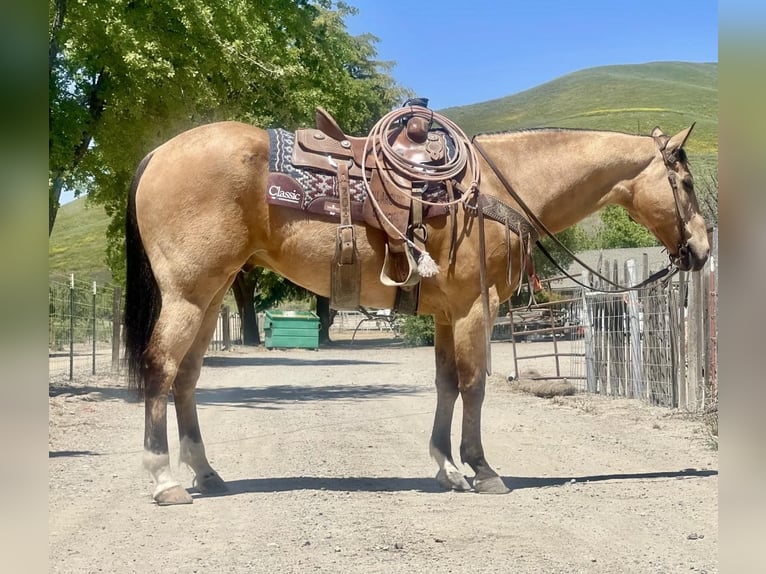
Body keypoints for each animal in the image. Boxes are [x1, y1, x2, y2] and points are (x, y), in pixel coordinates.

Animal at [124, 107, 708, 504]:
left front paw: (446, 468)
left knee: (187, 376)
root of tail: (158, 154)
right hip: (188, 292)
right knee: (161, 368)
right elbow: (473, 385)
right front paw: (481, 469)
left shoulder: (449, 313)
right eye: (684, 181)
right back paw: (164, 478)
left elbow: (447, 384)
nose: (701, 250)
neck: (498, 190)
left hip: (213, 293)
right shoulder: (476, 307)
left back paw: (205, 473)